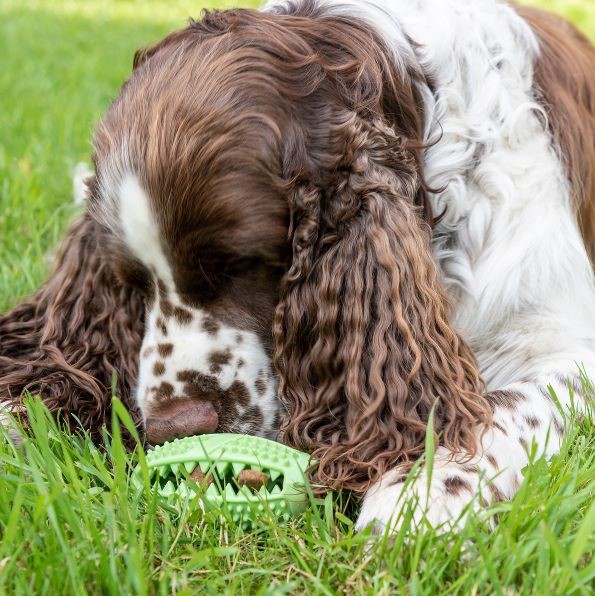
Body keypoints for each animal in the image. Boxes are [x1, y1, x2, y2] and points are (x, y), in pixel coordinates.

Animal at [1, 0, 595, 532]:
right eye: (133, 282)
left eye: (239, 264)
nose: (177, 427)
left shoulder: (560, 337)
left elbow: (505, 406)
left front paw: (426, 488)